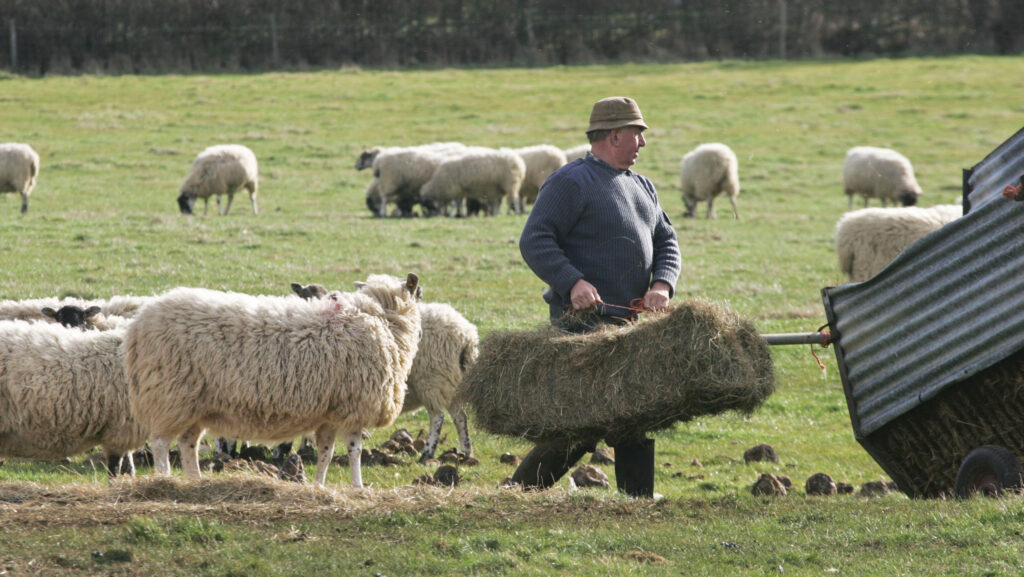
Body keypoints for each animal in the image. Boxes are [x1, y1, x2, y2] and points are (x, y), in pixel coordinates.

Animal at [126, 274, 423, 487]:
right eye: (420, 293)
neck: (381, 319)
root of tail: (138, 326)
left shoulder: (330, 410)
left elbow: (326, 452)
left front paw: (318, 486)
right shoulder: (355, 405)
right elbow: (355, 450)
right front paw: (357, 486)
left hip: (193, 404)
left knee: (188, 444)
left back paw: (195, 481)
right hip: (169, 394)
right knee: (161, 443)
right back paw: (164, 480)